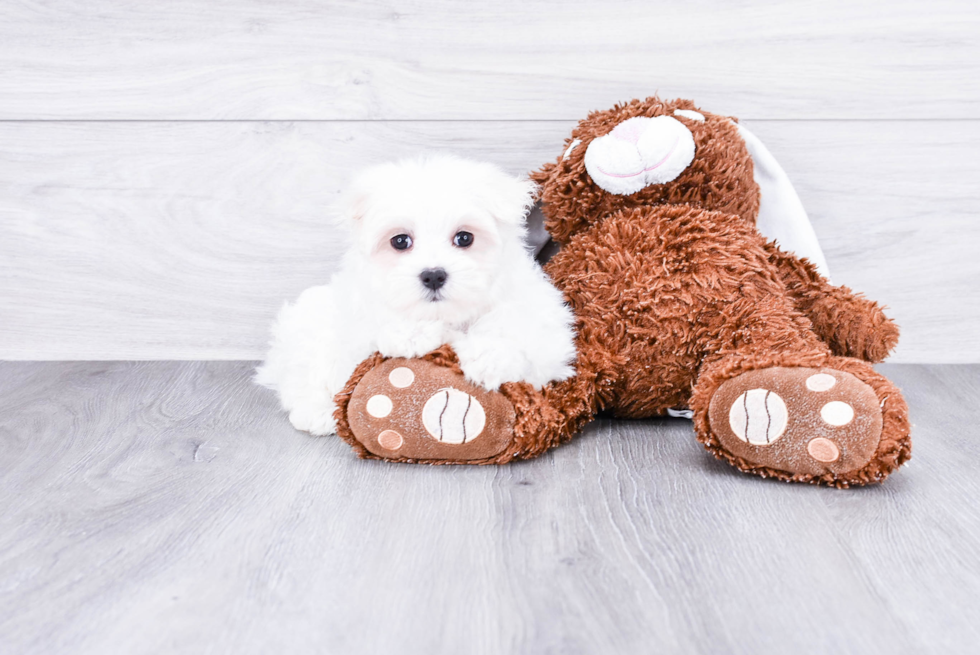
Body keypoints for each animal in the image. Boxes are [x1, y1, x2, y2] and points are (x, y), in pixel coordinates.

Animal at [256, 155, 580, 436]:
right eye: (400, 241)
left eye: (465, 238)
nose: (433, 275)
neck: (447, 316)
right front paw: (411, 333)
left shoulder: (545, 328)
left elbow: (522, 334)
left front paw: (488, 358)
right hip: (307, 320)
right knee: (301, 374)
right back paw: (317, 413)